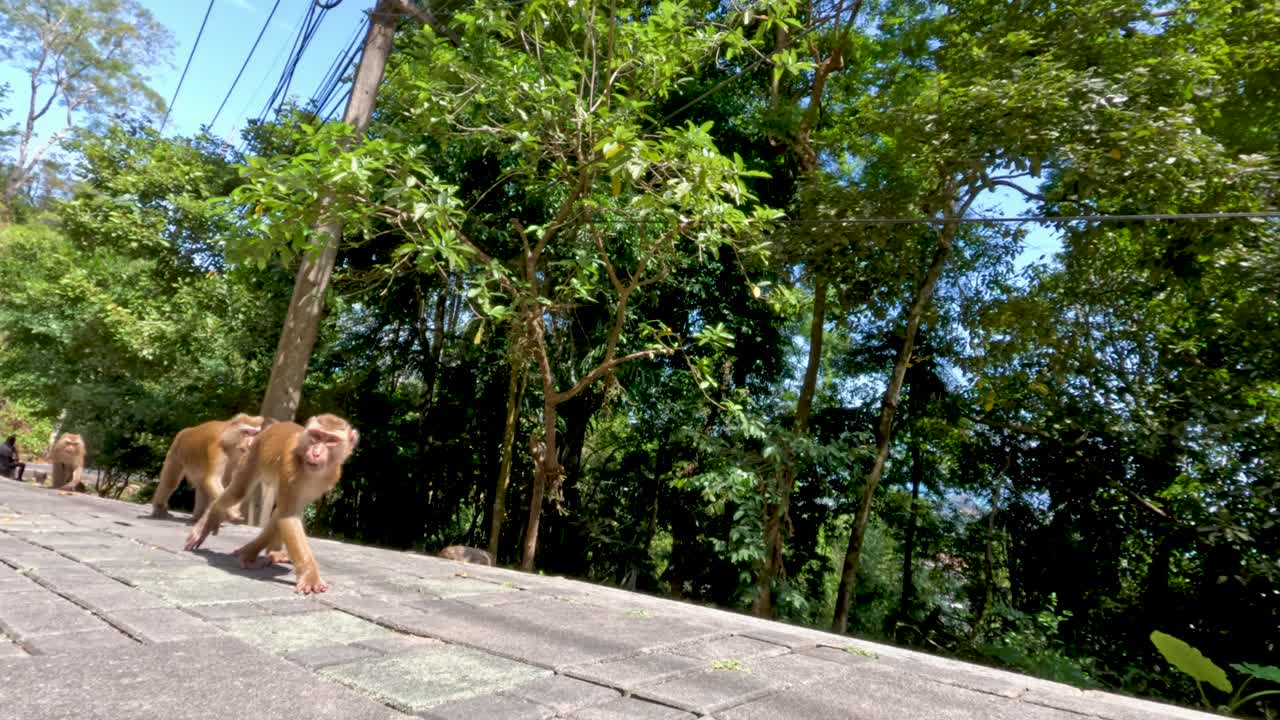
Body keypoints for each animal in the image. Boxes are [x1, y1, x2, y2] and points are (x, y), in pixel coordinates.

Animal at [185, 414, 358, 595]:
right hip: (252, 455)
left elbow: (284, 515)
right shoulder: (290, 466)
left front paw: (249, 553)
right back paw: (211, 516)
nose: (316, 453)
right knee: (238, 491)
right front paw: (310, 577)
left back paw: (262, 553)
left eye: (331, 440)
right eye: (316, 436)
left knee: (276, 511)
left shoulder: (329, 478)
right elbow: (288, 516)